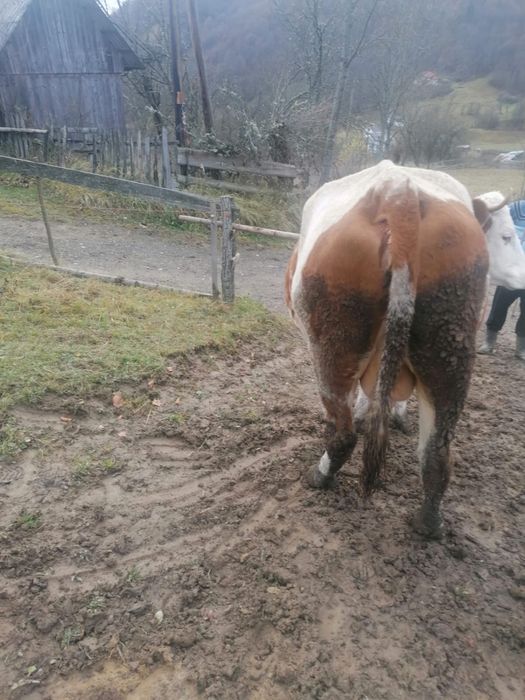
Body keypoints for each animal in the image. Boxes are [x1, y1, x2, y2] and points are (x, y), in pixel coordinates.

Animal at [285, 160, 525, 539]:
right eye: (506, 236)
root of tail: (398, 191)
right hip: (449, 347)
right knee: (436, 452)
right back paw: (429, 522)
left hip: (332, 347)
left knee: (343, 433)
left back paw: (320, 475)